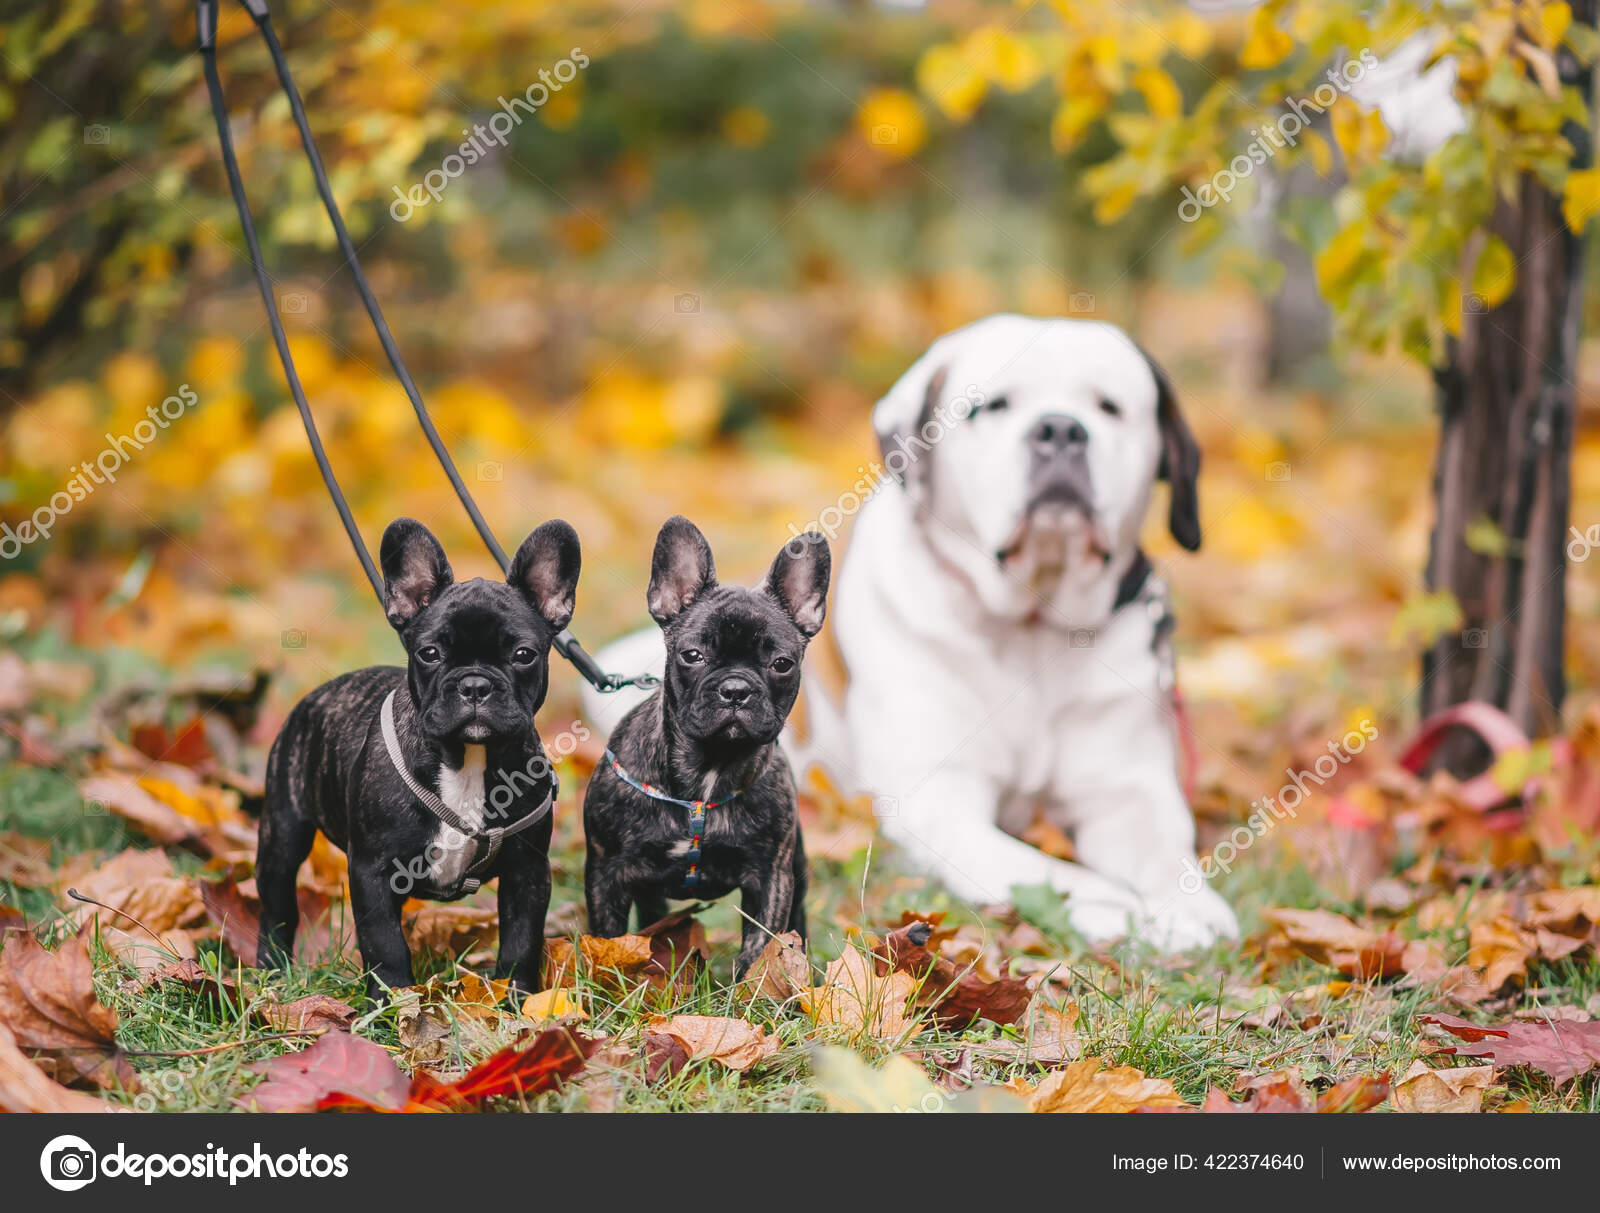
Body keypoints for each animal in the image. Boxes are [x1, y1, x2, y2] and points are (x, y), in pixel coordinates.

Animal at [246, 518, 579, 1004]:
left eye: (523, 655)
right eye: (430, 653)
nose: (474, 684)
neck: (467, 761)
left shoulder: (528, 873)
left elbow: (521, 939)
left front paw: (518, 999)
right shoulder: (372, 871)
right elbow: (384, 943)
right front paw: (394, 1002)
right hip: (282, 834)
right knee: (277, 903)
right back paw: (270, 970)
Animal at [579, 518, 825, 972]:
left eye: (782, 664)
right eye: (692, 655)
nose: (736, 689)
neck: (710, 769)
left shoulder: (770, 878)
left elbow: (761, 944)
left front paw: (754, 986)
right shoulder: (607, 872)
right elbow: (608, 937)